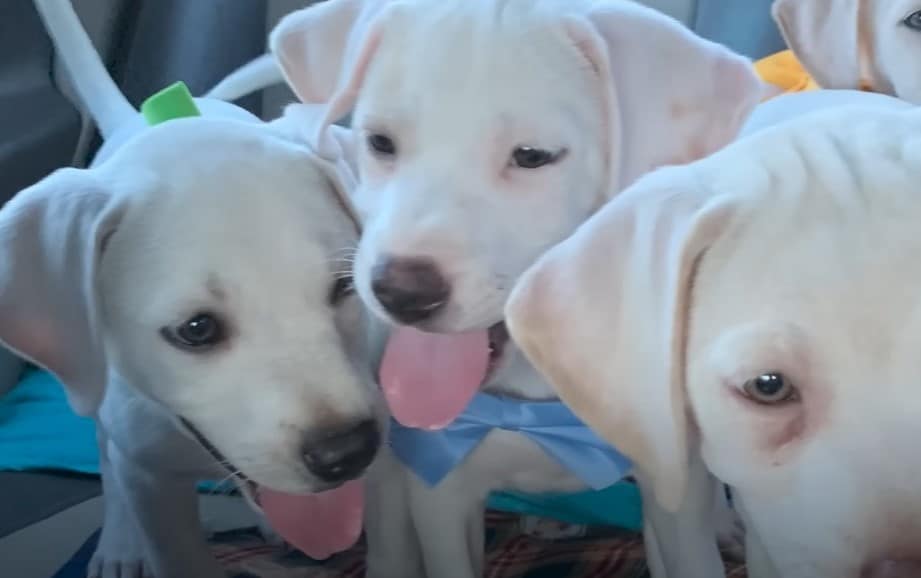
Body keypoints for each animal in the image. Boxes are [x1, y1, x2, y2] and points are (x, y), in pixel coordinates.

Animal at [0, 2, 380, 572]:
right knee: (107, 458)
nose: (348, 452)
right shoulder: (151, 485)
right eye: (196, 329)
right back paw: (118, 544)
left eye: (342, 288)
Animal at [266, 1, 760, 576]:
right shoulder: (441, 498)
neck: (531, 403)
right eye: (380, 143)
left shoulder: (674, 506)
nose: (400, 292)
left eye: (532, 156)